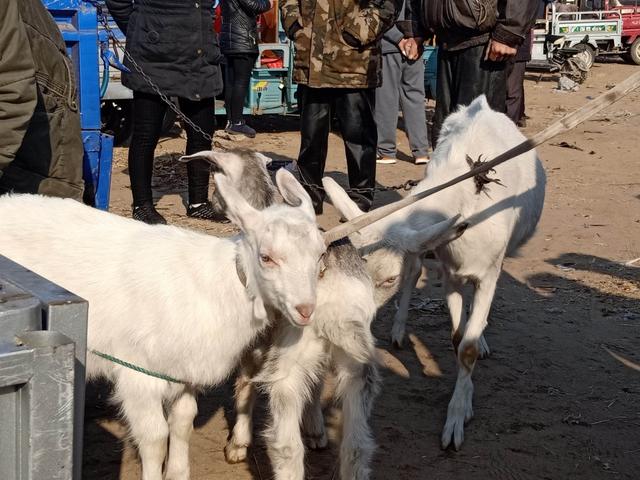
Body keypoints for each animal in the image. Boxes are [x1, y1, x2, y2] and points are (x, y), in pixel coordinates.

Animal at [0, 166, 324, 480]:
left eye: (320, 255)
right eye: (266, 257)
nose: (306, 310)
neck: (218, 286)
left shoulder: (183, 372)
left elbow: (183, 422)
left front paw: (178, 473)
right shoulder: (138, 371)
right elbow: (155, 437)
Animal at [324, 95, 544, 452]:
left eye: (388, 278)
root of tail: (482, 104)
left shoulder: (487, 272)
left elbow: (467, 346)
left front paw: (456, 419)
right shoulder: (449, 268)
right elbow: (456, 339)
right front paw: (464, 400)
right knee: (415, 269)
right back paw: (400, 330)